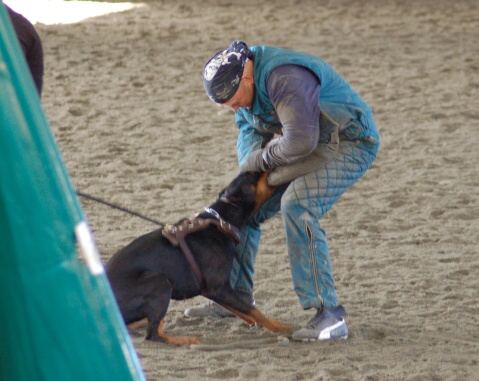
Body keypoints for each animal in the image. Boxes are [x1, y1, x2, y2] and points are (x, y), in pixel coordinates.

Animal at [106, 172, 290, 344]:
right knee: (153, 334)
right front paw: (279, 328)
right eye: (251, 175)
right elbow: (252, 310)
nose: (266, 161)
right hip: (160, 282)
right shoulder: (218, 287)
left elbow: (243, 311)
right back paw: (185, 340)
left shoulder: (213, 290)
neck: (221, 223)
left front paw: (269, 323)